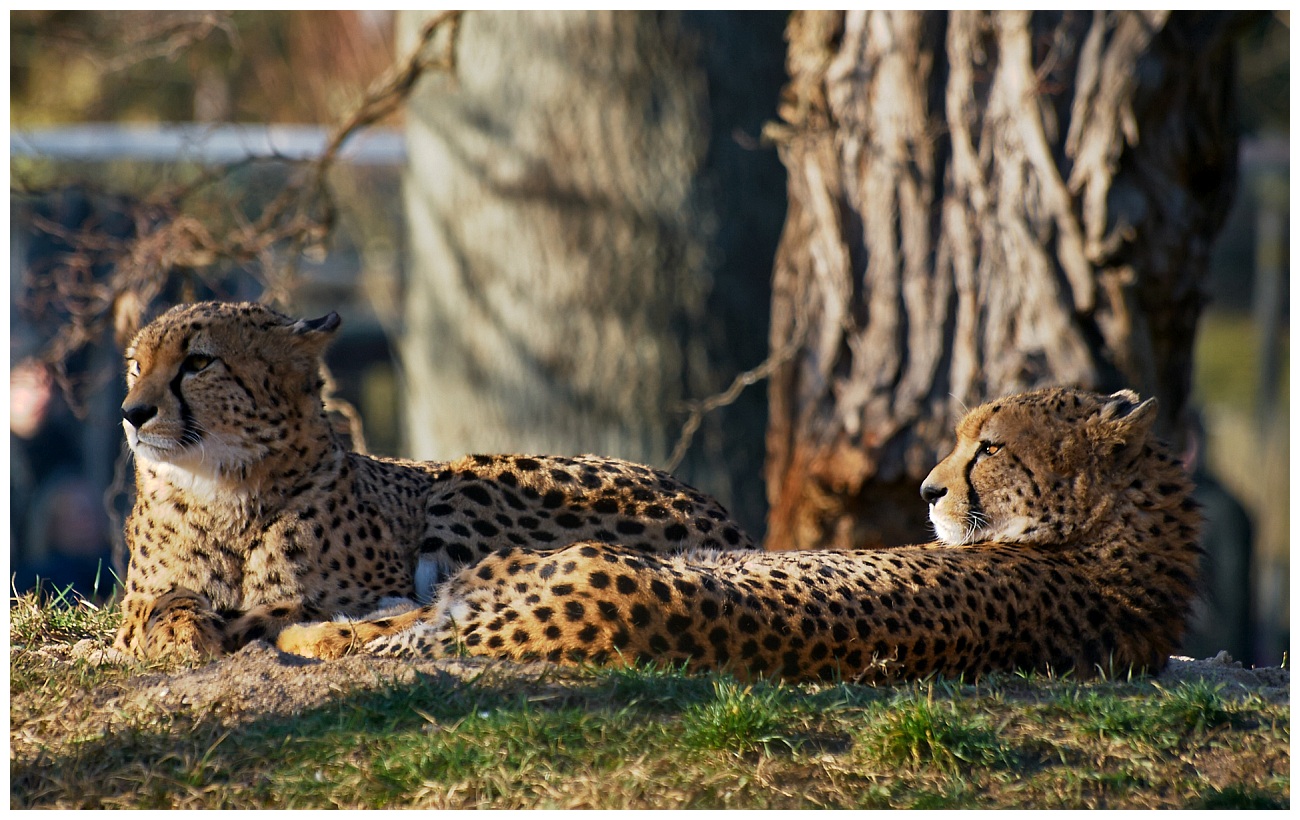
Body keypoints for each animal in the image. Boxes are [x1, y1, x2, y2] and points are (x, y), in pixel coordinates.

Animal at [116, 301, 759, 660]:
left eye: (198, 362)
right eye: (136, 366)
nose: (132, 412)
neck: (223, 488)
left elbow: (289, 605)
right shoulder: (136, 602)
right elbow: (157, 606)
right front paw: (182, 630)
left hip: (467, 483)